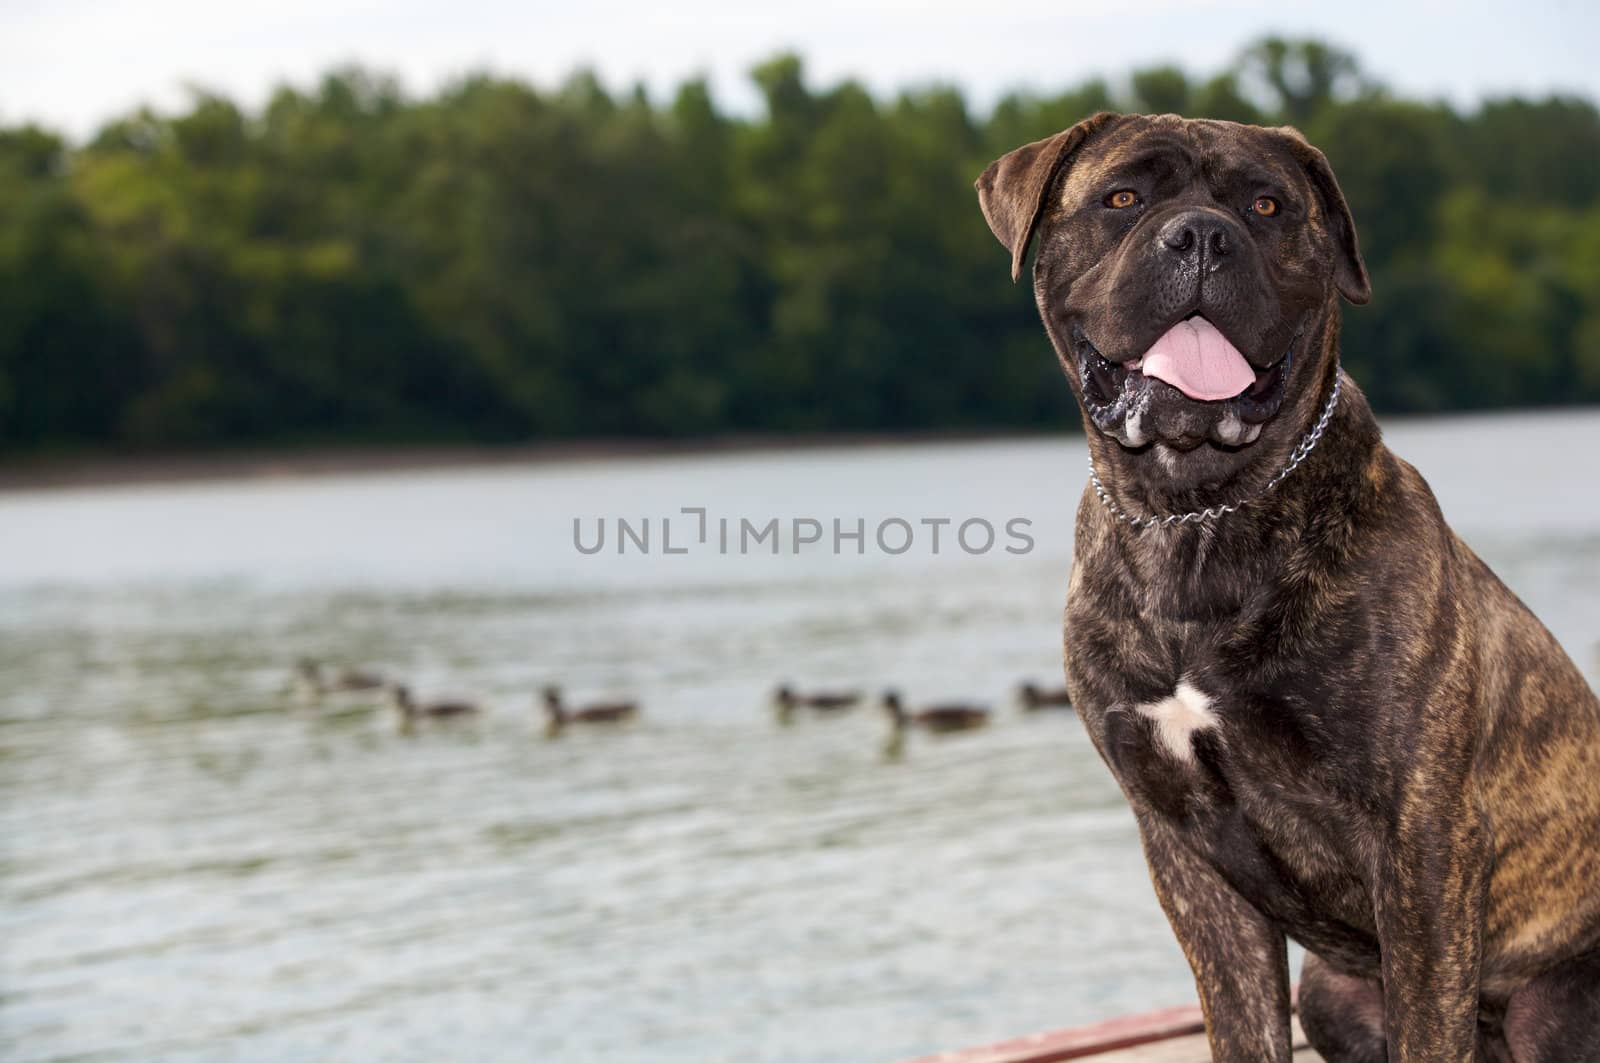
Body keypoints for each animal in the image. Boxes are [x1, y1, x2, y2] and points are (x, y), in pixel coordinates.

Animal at [972, 112, 1600, 1056]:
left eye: (1267, 206)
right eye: (1123, 195)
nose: (1202, 235)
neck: (1197, 511)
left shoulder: (1422, 839)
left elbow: (1428, 1023)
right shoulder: (1185, 850)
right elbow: (1243, 1025)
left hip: (1550, 1002)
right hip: (1330, 992)